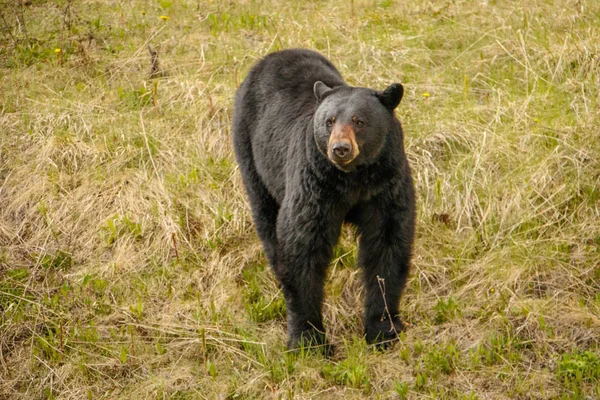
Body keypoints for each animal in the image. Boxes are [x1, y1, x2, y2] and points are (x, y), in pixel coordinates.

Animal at [232, 48, 414, 352]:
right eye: (329, 121)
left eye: (359, 121)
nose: (340, 148)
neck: (352, 180)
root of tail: (274, 55)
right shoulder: (315, 186)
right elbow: (302, 245)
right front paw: (309, 338)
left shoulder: (386, 185)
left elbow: (387, 244)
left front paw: (383, 329)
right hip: (252, 155)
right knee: (267, 221)